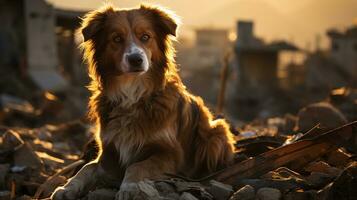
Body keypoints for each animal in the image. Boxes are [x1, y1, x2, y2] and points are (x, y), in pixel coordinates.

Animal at [51, 4, 235, 200]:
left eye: (145, 37)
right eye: (116, 38)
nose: (135, 59)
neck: (133, 92)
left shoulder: (171, 154)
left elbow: (138, 165)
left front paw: (129, 186)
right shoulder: (109, 152)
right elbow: (86, 168)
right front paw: (66, 188)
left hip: (216, 133)